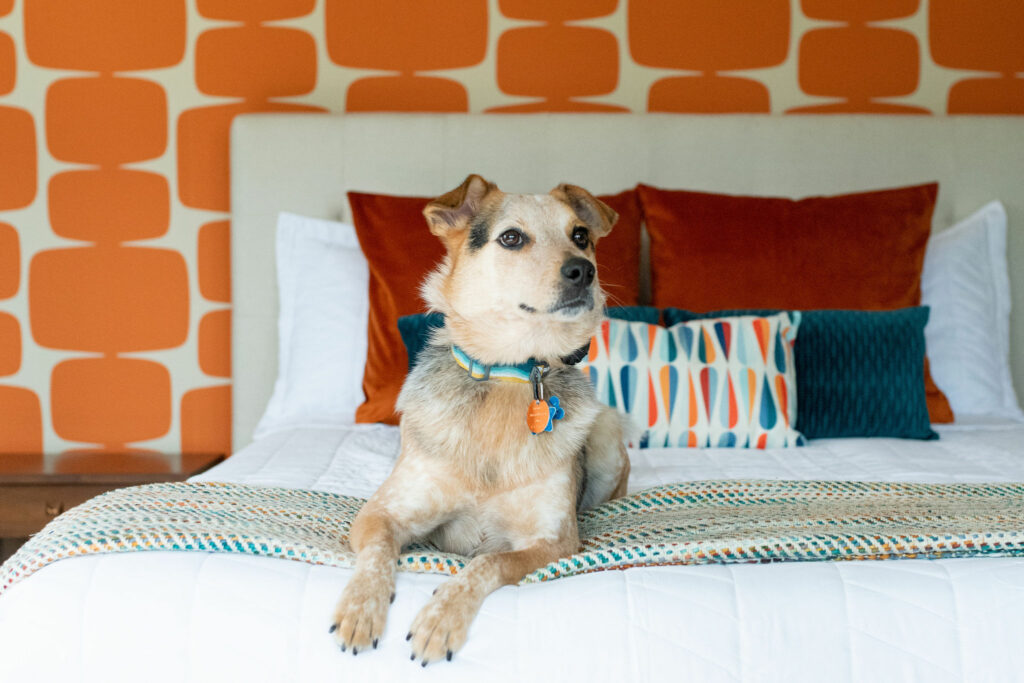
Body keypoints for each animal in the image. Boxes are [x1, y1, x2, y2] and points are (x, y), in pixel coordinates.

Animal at [331, 174, 626, 663]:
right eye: (512, 238)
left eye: (581, 235)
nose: (584, 270)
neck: (510, 373)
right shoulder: (381, 514)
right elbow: (376, 555)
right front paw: (360, 609)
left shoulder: (553, 542)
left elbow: (488, 561)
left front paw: (440, 618)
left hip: (605, 435)